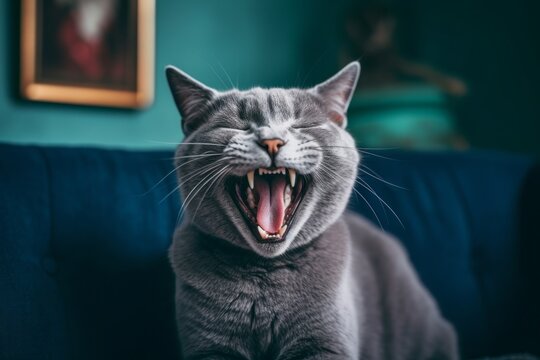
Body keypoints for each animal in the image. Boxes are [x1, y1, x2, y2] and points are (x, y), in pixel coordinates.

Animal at [167, 62, 458, 360]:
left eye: (302, 124)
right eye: (233, 126)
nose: (272, 141)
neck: (267, 272)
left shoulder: (325, 344)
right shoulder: (210, 347)